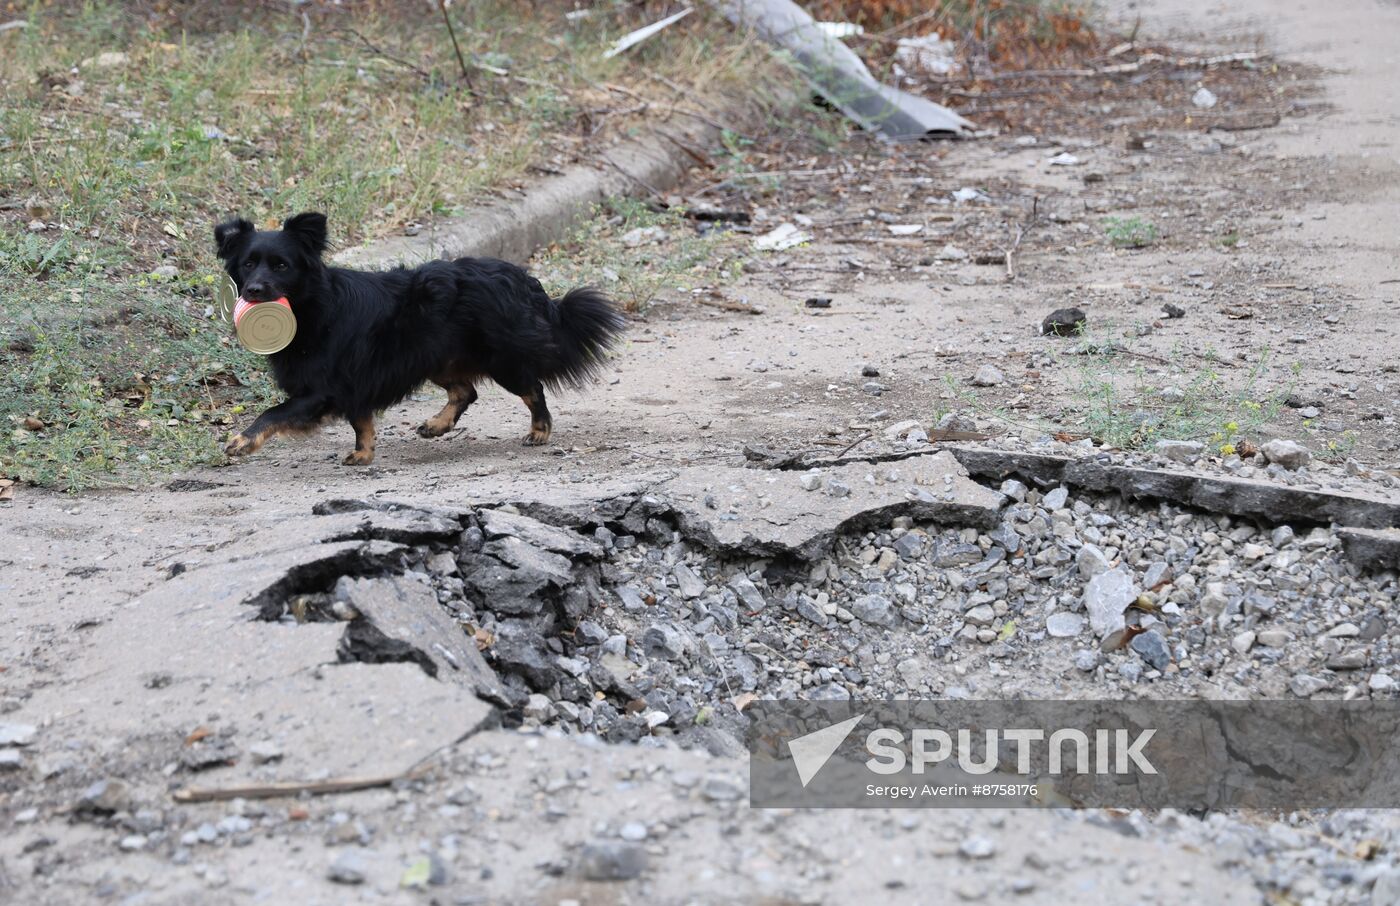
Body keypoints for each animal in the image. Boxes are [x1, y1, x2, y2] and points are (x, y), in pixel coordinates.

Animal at [212, 215, 624, 464]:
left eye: (281, 266)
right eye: (248, 264)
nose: (253, 290)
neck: (312, 306)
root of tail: (523, 280)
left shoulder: (321, 390)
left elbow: (274, 412)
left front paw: (241, 441)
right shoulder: (355, 382)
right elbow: (362, 422)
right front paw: (363, 455)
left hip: (500, 357)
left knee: (532, 388)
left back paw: (540, 431)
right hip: (436, 356)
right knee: (466, 391)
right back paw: (437, 425)